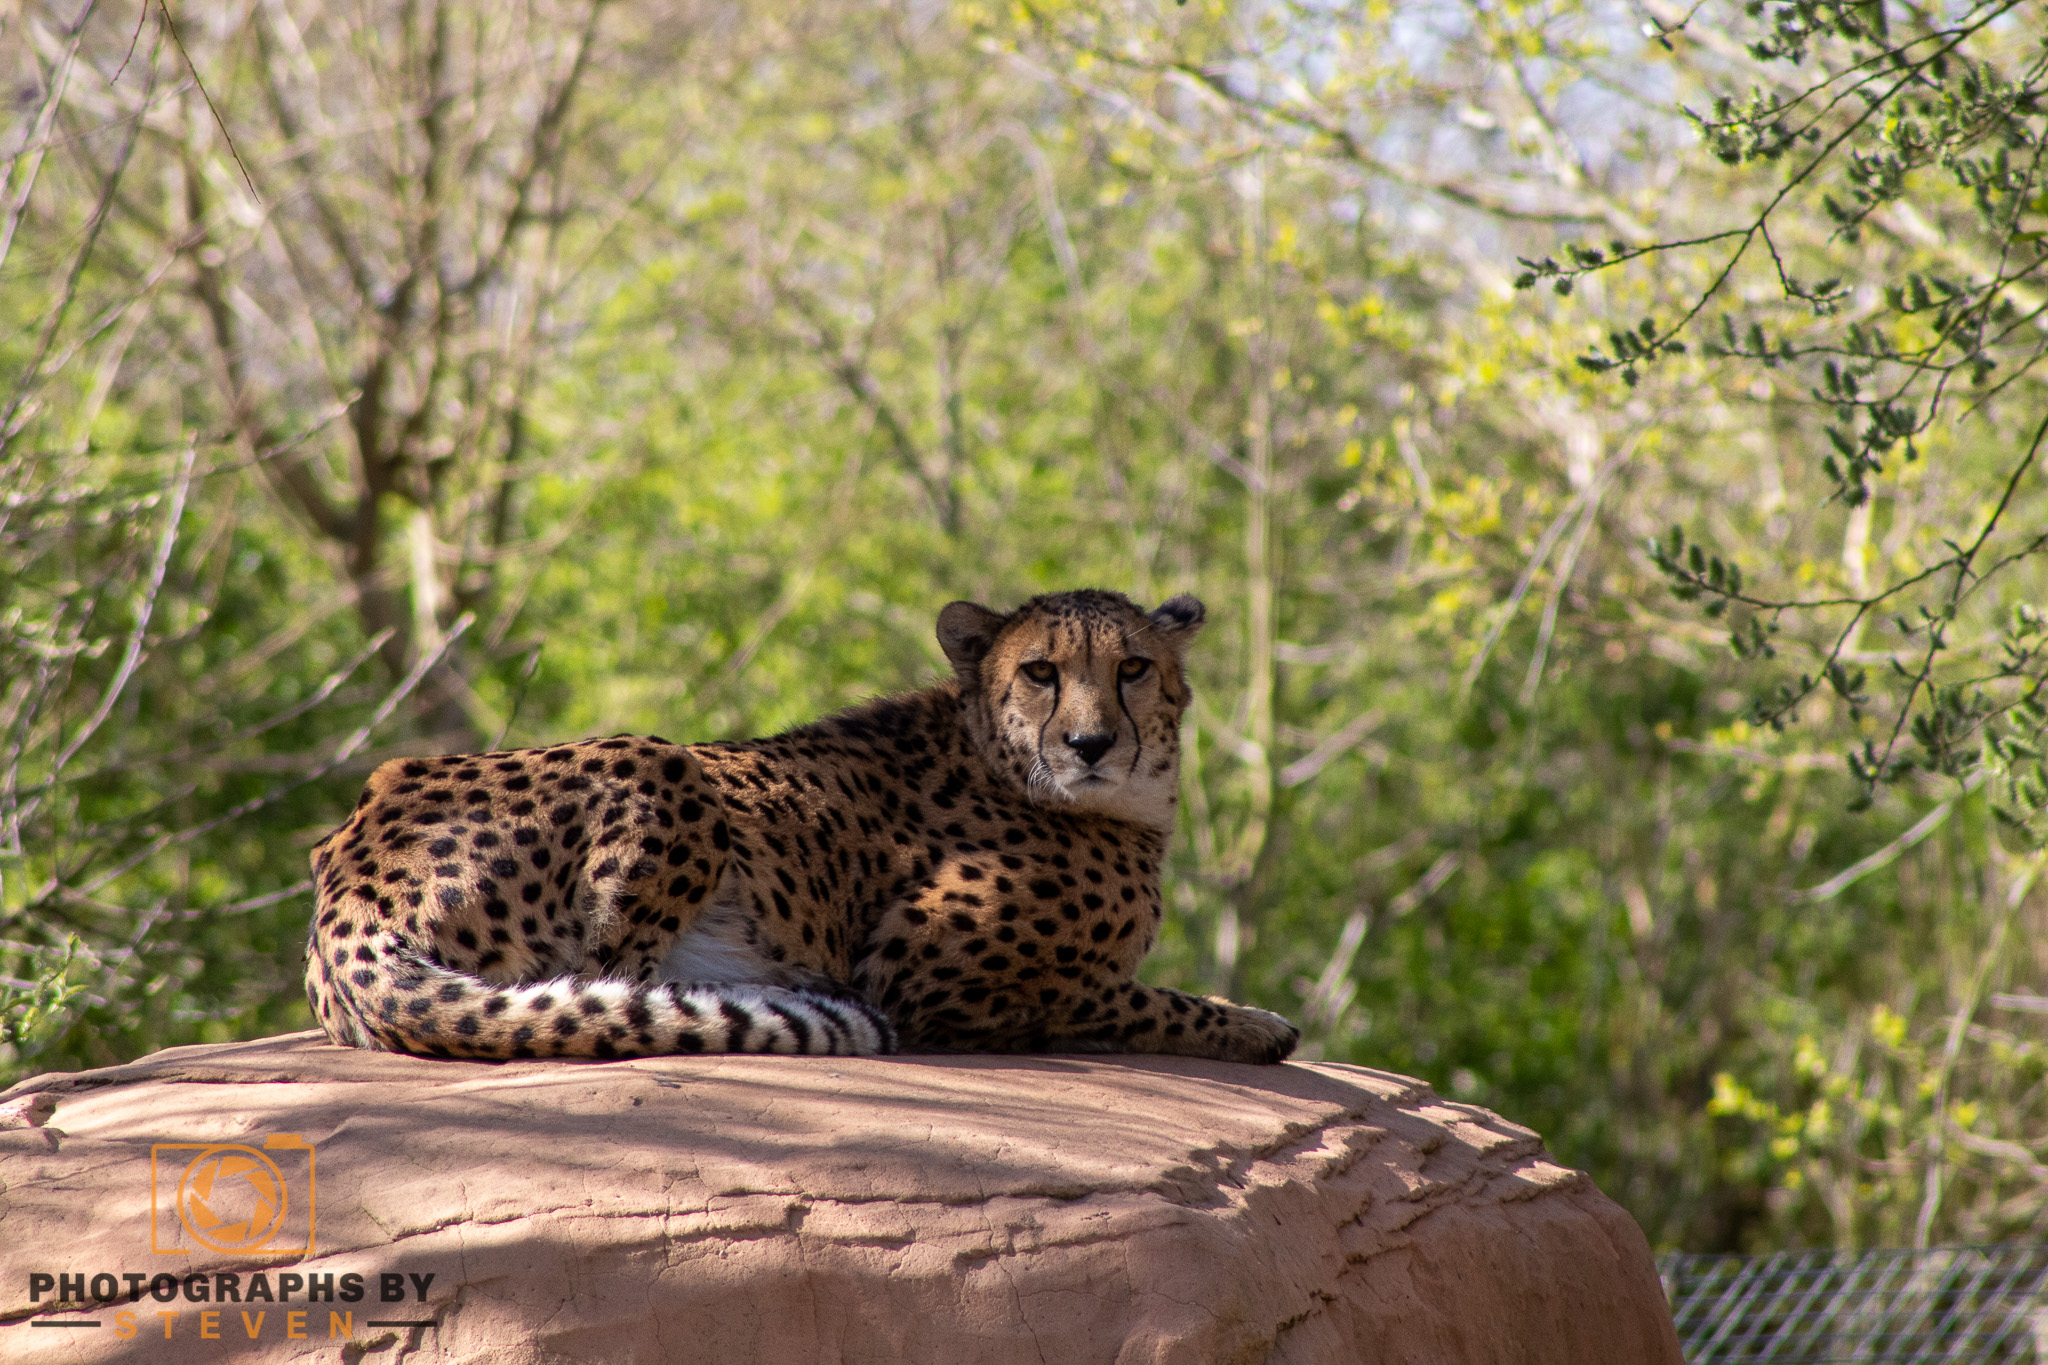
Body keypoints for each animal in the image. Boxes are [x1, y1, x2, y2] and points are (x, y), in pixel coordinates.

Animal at [303, 593, 1294, 1064]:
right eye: (1041, 671)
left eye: (1133, 668)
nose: (1091, 744)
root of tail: (350, 867)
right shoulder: (924, 971)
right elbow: (1129, 996)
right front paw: (1253, 1024)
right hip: (664, 763)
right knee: (607, 985)